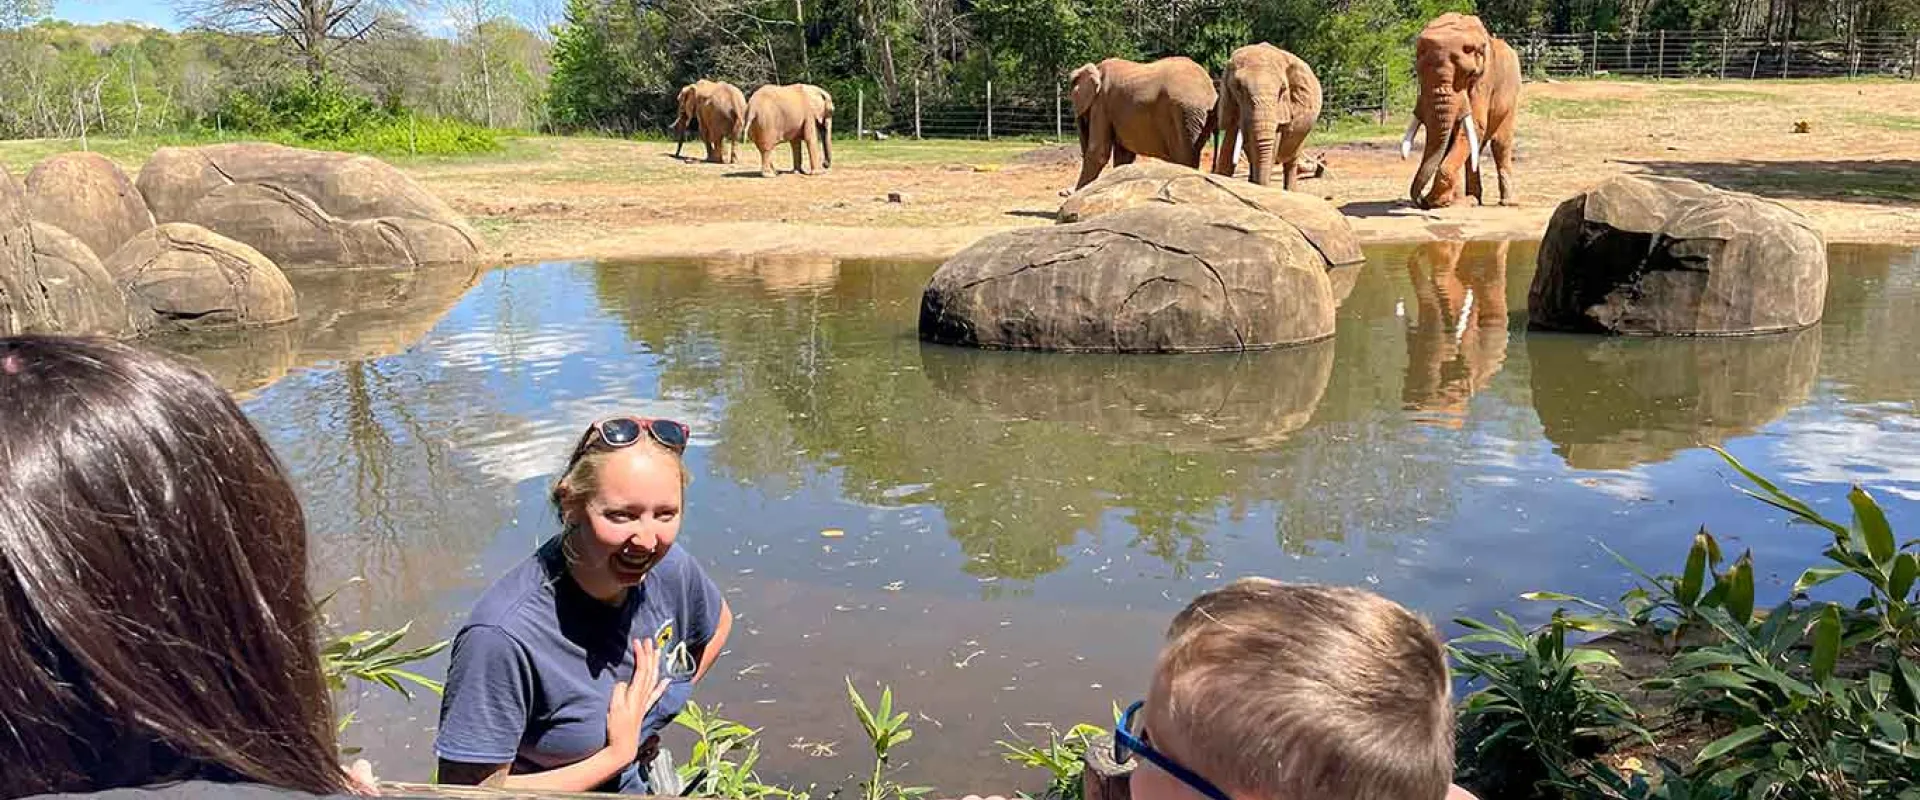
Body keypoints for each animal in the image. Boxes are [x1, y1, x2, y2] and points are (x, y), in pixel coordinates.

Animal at [1069, 57, 1218, 190]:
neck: (1096, 68)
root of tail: (1211, 92)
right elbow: (1124, 157)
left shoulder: (1101, 103)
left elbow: (1098, 152)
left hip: (1182, 115)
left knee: (1183, 158)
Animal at [1403, 12, 1521, 209]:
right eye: (1418, 73)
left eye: (1470, 75)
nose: (1422, 200)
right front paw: (1449, 202)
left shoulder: (1484, 80)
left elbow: (1474, 125)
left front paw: (1441, 201)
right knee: (1475, 149)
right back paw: (1473, 199)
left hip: (1512, 97)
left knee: (1500, 144)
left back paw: (1506, 203)